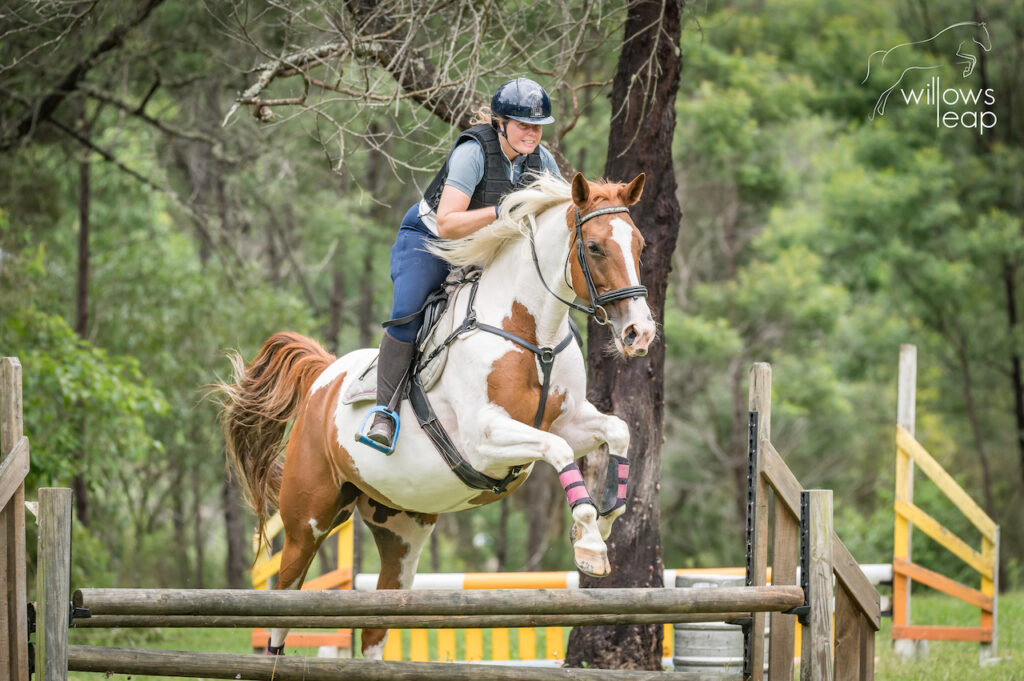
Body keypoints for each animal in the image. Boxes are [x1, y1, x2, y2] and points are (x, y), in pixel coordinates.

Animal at [220, 171, 659, 659]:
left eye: (640, 245)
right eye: (596, 247)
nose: (639, 333)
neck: (531, 334)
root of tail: (325, 378)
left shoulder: (569, 420)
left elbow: (616, 431)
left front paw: (603, 521)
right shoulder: (485, 440)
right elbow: (559, 449)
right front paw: (590, 545)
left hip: (401, 534)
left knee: (376, 624)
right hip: (307, 523)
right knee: (282, 608)